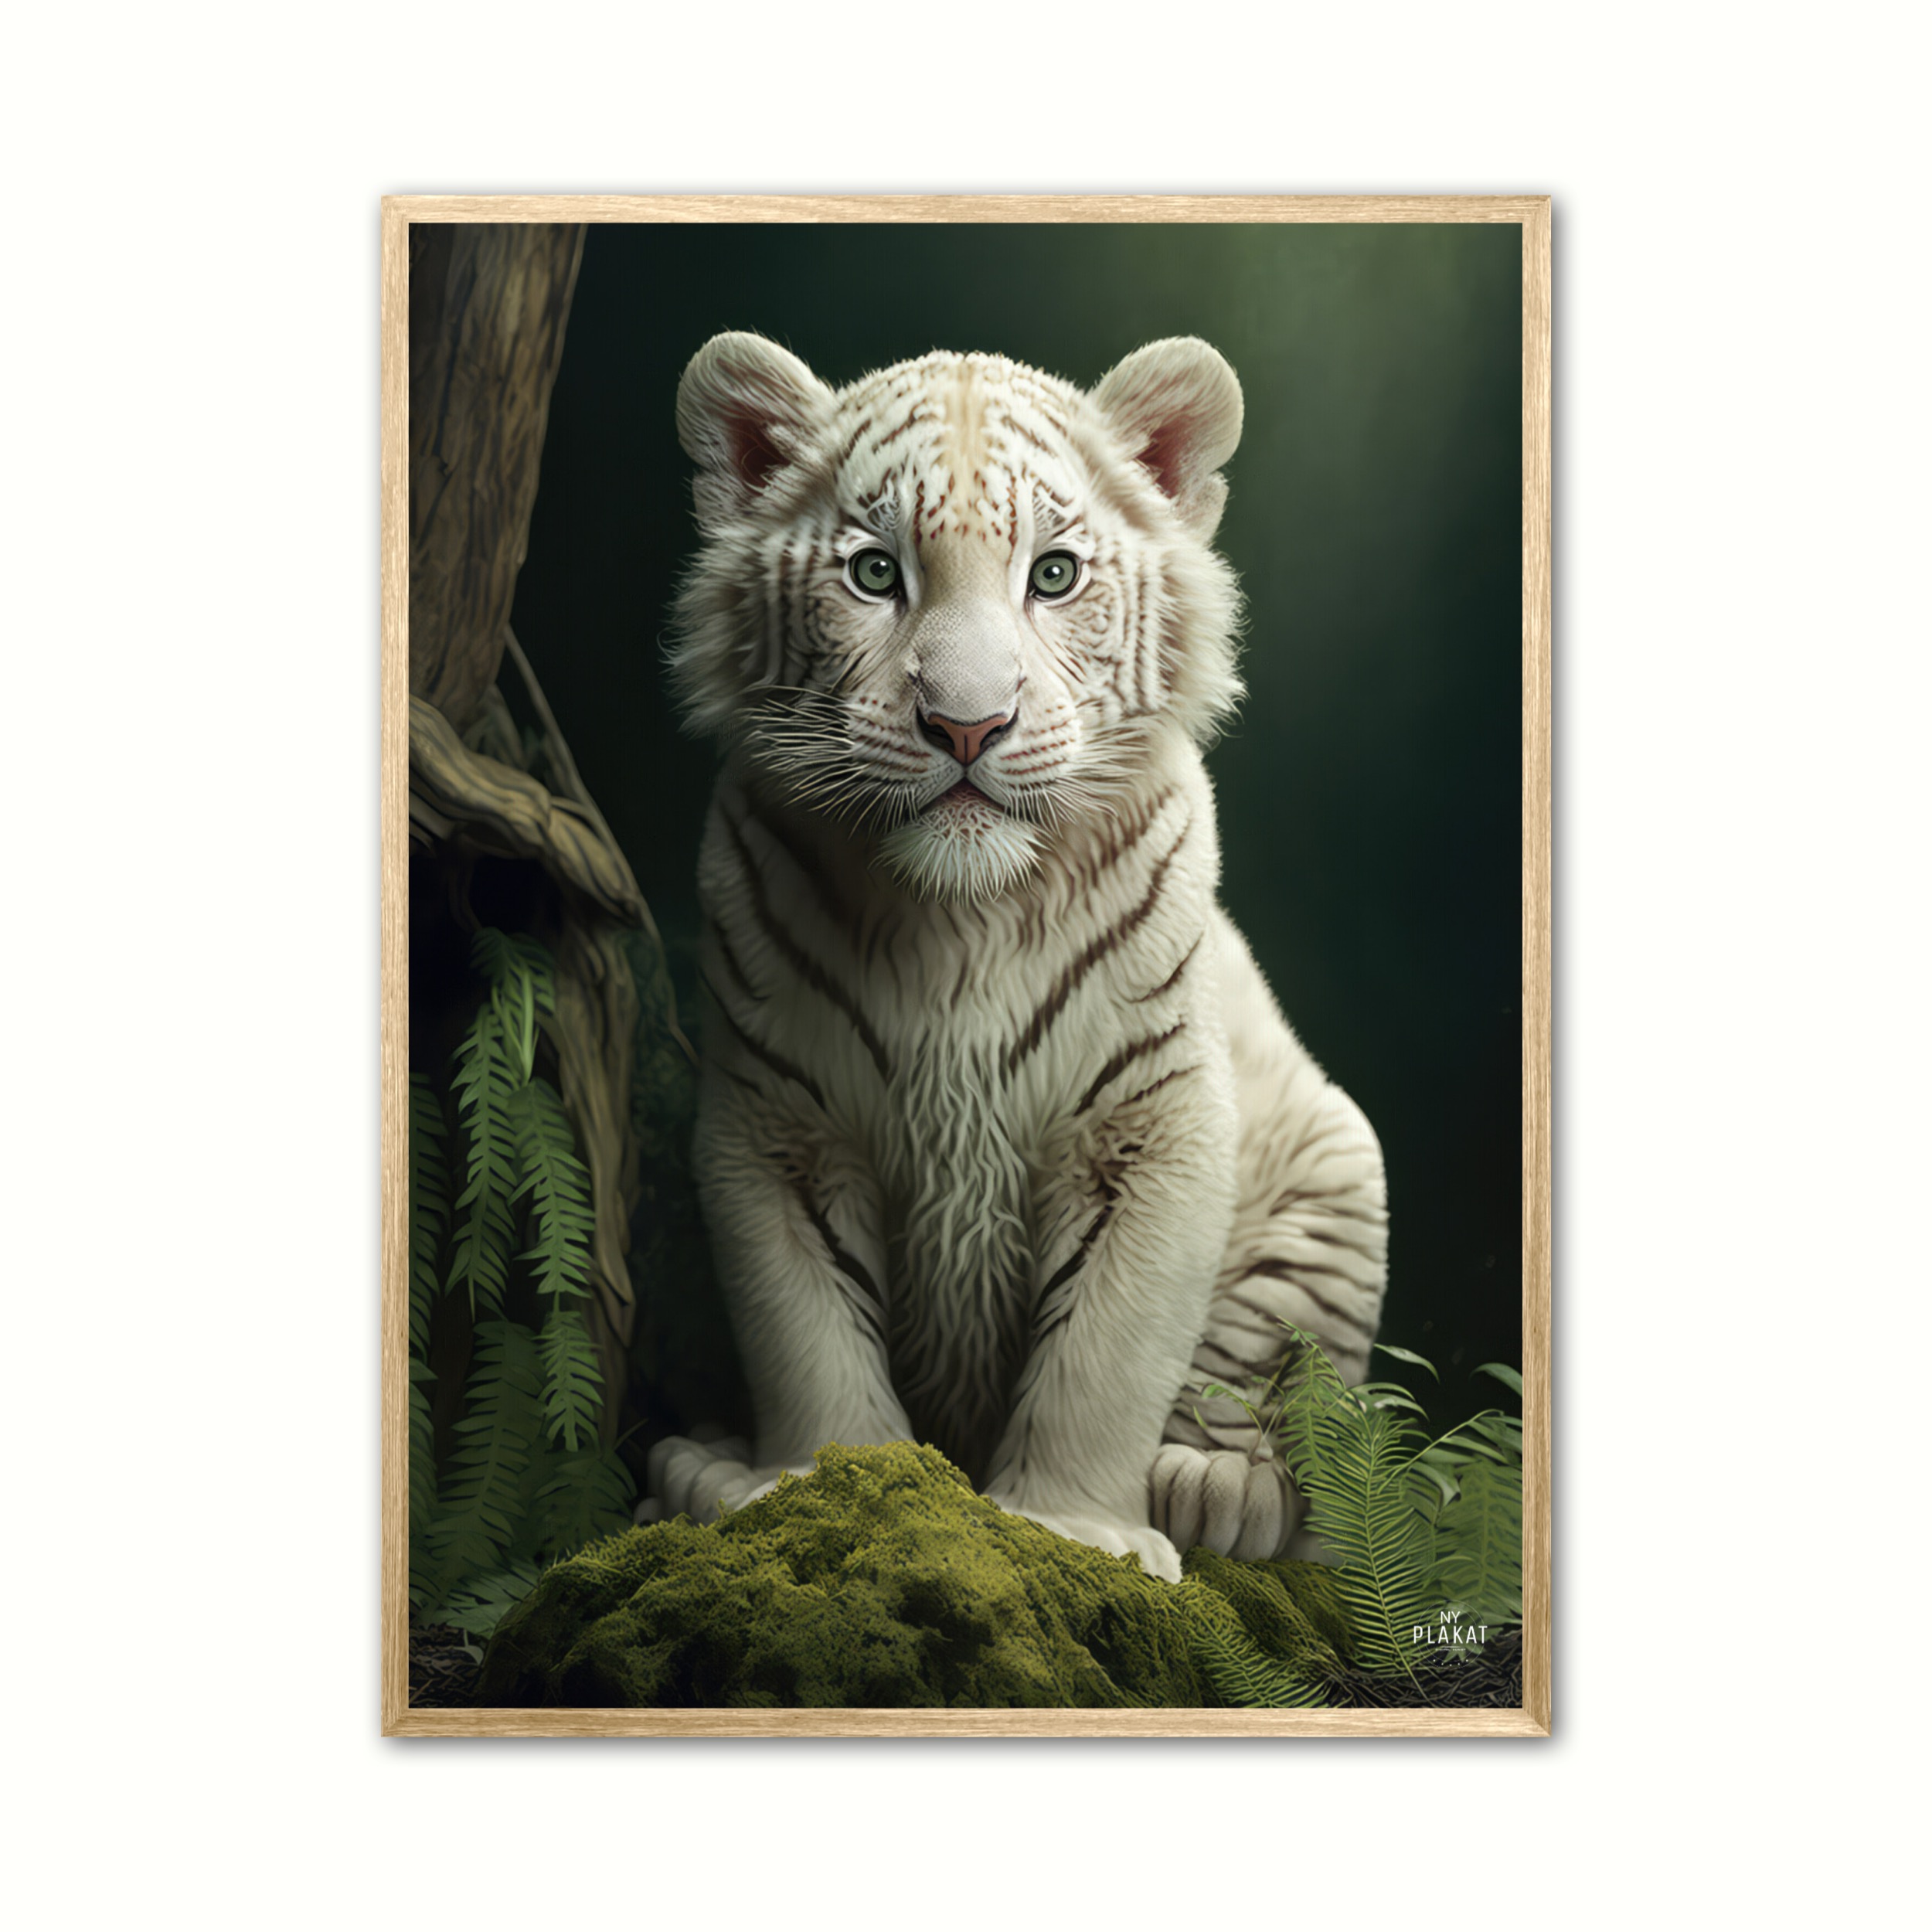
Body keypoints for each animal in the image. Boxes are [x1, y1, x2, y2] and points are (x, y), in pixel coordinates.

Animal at [642, 332, 1388, 1582]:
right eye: (874, 574)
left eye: (1053, 575)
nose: (966, 725)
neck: (961, 920)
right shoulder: (775, 1126)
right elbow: (806, 1330)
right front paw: (823, 1487)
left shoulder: (1151, 1118)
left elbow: (1110, 1349)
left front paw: (1079, 1527)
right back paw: (700, 1471)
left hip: (1339, 1160)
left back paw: (1218, 1491)